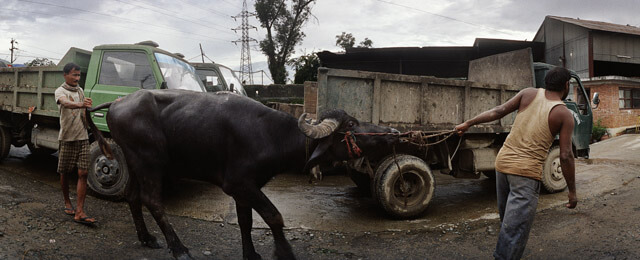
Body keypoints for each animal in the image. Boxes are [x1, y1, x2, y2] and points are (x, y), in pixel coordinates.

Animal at [89, 90, 400, 260]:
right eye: (351, 124)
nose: (394, 132)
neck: (271, 135)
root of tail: (117, 102)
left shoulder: (245, 189)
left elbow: (246, 222)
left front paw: (250, 253)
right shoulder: (239, 184)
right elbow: (274, 216)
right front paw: (284, 253)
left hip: (134, 162)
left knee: (133, 197)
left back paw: (146, 238)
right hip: (150, 162)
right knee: (153, 201)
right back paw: (179, 249)